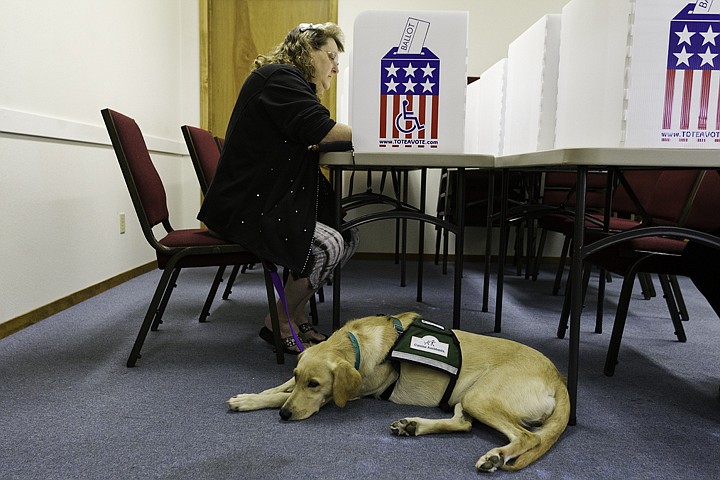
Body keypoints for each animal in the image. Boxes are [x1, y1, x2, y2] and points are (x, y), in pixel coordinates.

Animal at [228, 312, 572, 472]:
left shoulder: (352, 392)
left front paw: (260, 402)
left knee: (528, 437)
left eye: (315, 385)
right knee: (464, 423)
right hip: (467, 395)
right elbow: (280, 388)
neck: (355, 343)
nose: (285, 416)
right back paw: (412, 426)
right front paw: (251, 396)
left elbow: (283, 395)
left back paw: (495, 456)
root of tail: (559, 378)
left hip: (481, 396)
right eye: (298, 376)